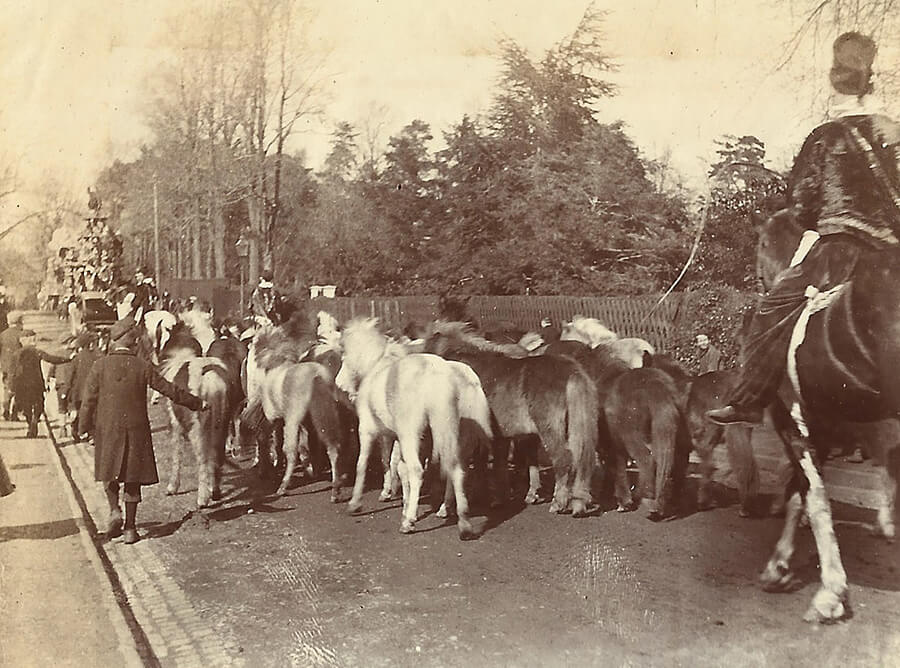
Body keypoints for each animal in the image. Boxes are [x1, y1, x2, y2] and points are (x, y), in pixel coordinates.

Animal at [338, 316, 492, 540]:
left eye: (344, 355)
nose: (339, 385)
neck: (378, 366)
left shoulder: (370, 430)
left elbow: (365, 463)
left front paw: (356, 503)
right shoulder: (400, 438)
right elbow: (398, 467)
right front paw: (401, 501)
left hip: (411, 434)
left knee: (418, 470)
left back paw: (409, 522)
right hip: (452, 434)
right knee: (455, 468)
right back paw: (460, 521)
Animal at [756, 211, 900, 624]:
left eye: (761, 245)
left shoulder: (798, 426)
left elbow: (814, 498)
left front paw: (830, 592)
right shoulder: (828, 429)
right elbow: (799, 496)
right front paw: (780, 566)